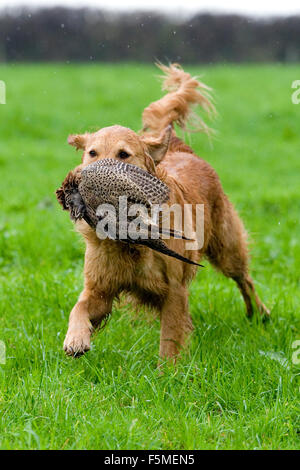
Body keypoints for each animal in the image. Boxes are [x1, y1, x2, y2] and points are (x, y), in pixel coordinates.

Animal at [56, 63, 270, 360]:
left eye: (123, 154)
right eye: (92, 152)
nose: (88, 175)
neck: (131, 247)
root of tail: (181, 149)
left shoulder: (174, 291)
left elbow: (169, 340)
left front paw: (168, 370)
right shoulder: (101, 288)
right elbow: (79, 308)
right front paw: (75, 339)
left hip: (227, 249)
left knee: (245, 279)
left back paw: (260, 314)